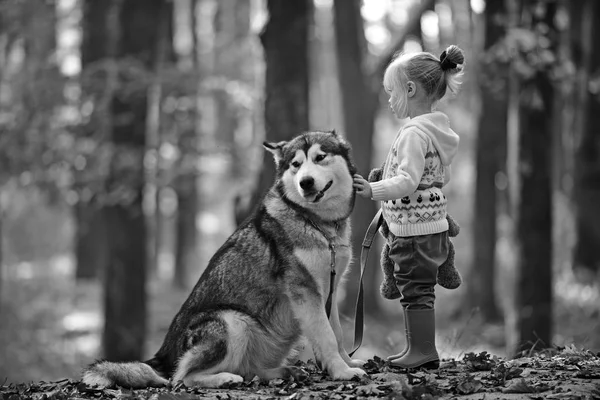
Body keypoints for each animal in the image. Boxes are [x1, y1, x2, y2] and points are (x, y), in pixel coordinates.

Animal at [82, 130, 366, 388]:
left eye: (320, 158)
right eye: (295, 164)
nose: (305, 182)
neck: (318, 223)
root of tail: (163, 355)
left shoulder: (329, 290)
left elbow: (337, 333)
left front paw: (348, 362)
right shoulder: (306, 292)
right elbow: (327, 336)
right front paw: (342, 372)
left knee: (246, 369)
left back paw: (282, 372)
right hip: (233, 321)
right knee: (181, 378)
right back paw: (225, 378)